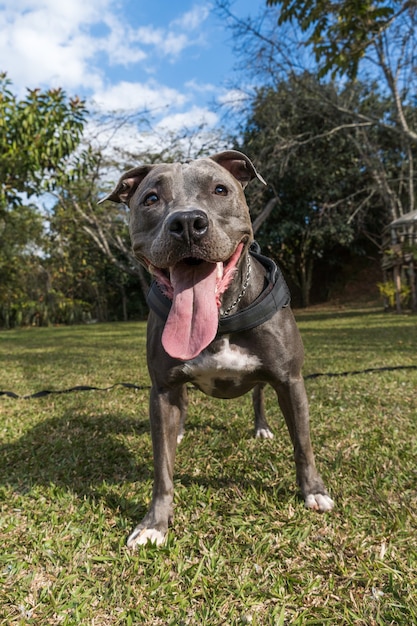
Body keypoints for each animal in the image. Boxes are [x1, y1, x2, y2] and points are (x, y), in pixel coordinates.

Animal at [99, 149, 334, 544]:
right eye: (151, 199)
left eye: (220, 189)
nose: (187, 222)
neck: (222, 317)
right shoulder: (162, 389)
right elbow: (162, 469)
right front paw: (154, 524)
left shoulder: (290, 380)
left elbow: (303, 444)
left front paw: (313, 491)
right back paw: (179, 431)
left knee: (258, 395)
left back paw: (261, 428)